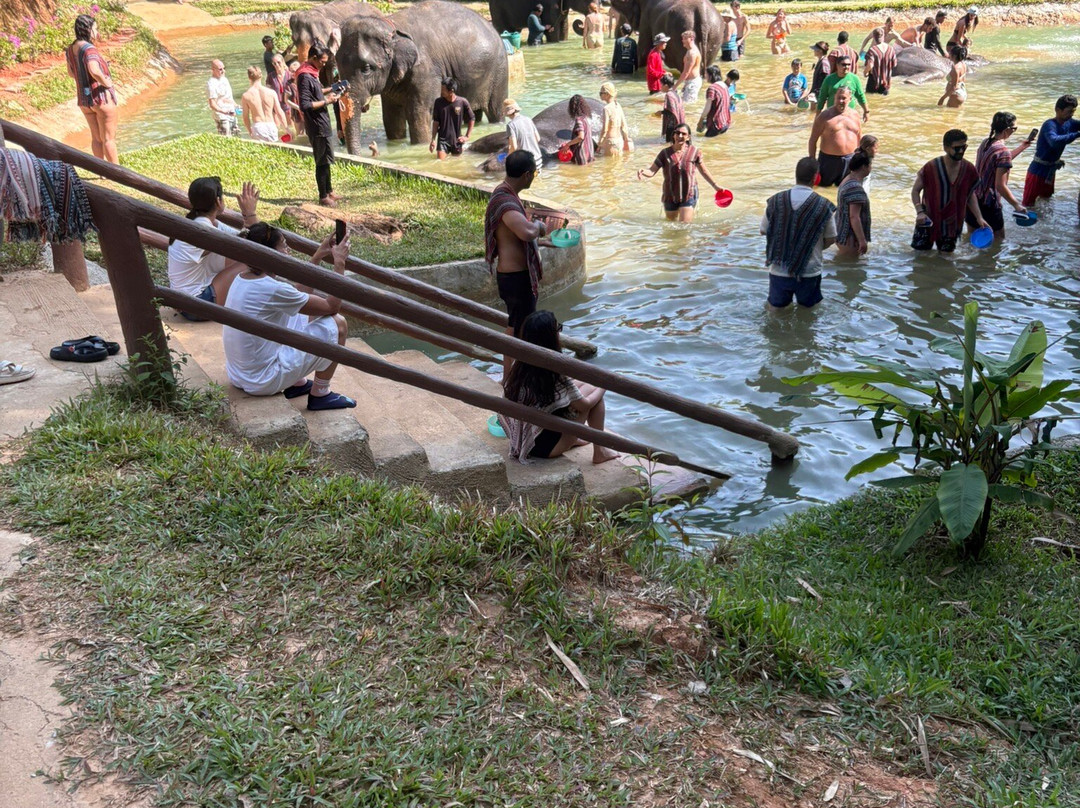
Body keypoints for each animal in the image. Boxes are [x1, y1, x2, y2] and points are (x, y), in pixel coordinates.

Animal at [336, 1, 509, 153]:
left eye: (366, 68)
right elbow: (391, 116)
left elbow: (419, 113)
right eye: (338, 67)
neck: (391, 26)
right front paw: (396, 142)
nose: (370, 148)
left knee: (496, 109)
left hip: (499, 71)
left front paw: (421, 145)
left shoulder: (426, 72)